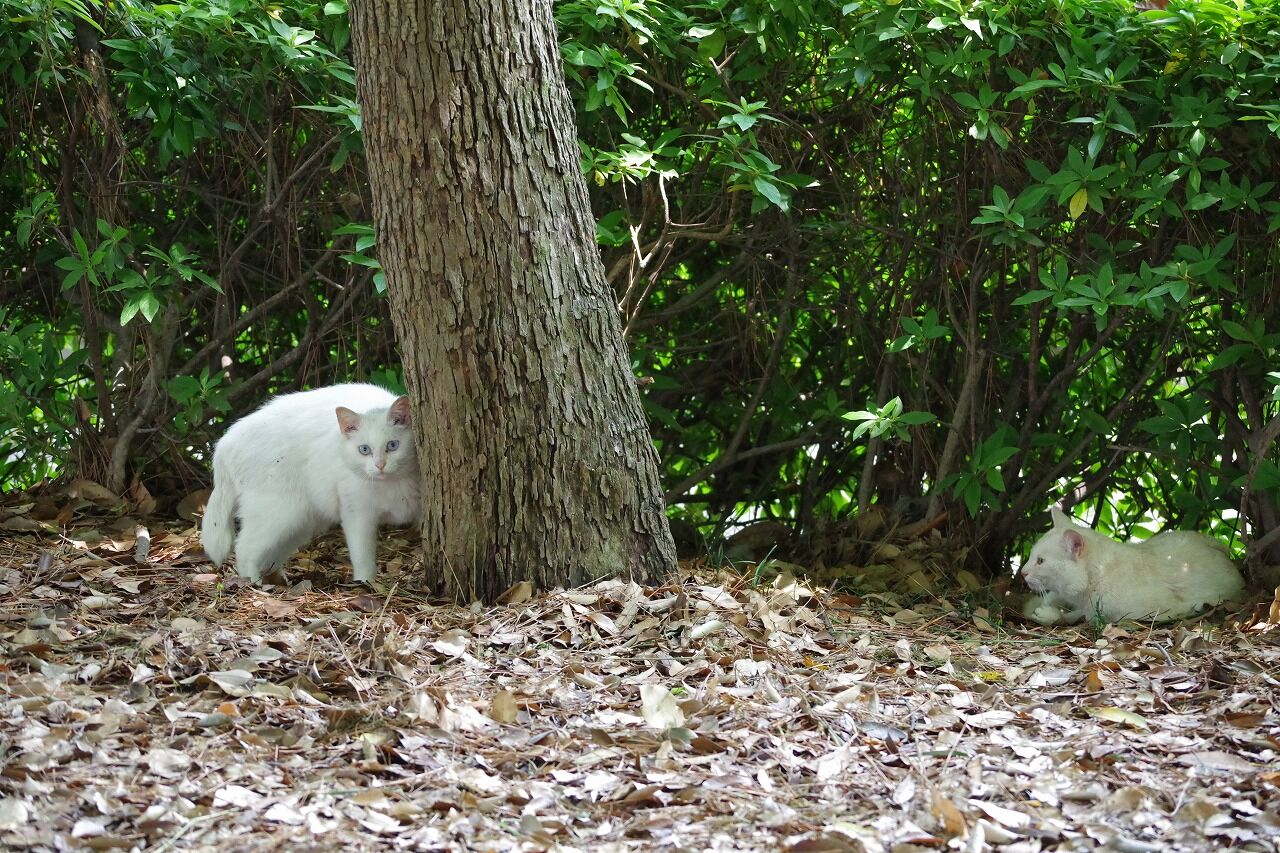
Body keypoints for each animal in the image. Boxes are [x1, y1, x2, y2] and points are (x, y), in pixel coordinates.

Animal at [201, 383, 420, 583]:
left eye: (393, 445)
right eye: (364, 450)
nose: (380, 465)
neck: (392, 482)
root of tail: (226, 441)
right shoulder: (357, 514)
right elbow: (362, 558)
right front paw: (365, 585)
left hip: (301, 521)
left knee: (269, 555)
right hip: (278, 513)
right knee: (245, 548)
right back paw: (254, 586)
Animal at [1020, 507, 1244, 625]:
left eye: (1040, 561)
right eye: (1032, 556)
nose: (1023, 572)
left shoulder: (1122, 615)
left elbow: (1076, 616)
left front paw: (1047, 614)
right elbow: (1055, 599)